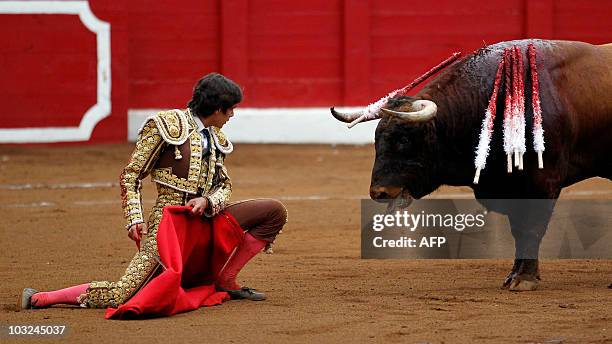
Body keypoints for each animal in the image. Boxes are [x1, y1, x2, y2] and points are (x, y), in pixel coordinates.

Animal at [332, 39, 608, 290]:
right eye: (376, 140)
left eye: (404, 140)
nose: (378, 193)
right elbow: (518, 229)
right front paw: (513, 275)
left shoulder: (543, 182)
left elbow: (531, 227)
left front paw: (525, 278)